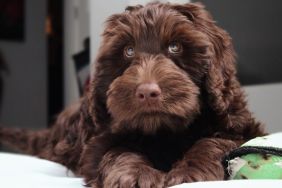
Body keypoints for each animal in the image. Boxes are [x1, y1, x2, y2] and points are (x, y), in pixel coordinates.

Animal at [0, 2, 266, 187]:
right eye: (128, 51)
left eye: (175, 46)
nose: (146, 92)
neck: (164, 131)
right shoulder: (97, 142)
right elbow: (118, 150)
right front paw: (136, 175)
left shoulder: (239, 125)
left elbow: (215, 142)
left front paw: (191, 171)